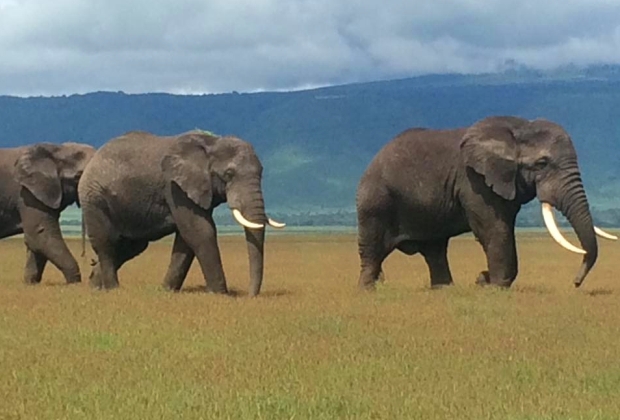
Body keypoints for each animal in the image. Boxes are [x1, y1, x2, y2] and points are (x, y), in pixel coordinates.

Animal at [0, 143, 96, 284]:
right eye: (77, 177)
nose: (91, 261)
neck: (57, 149)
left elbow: (37, 241)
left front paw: (31, 283)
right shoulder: (27, 195)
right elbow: (40, 236)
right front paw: (74, 283)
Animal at [78, 129, 286, 296]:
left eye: (261, 173)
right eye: (229, 174)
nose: (251, 295)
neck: (211, 142)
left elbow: (186, 238)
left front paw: (166, 291)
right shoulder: (174, 186)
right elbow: (200, 230)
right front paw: (220, 294)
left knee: (131, 247)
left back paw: (95, 285)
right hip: (94, 198)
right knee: (107, 244)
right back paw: (113, 289)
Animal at [356, 116, 616, 290]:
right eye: (542, 163)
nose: (575, 283)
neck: (519, 128)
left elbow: (505, 228)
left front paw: (484, 280)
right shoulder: (473, 181)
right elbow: (494, 229)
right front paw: (493, 285)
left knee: (435, 249)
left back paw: (444, 289)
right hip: (375, 200)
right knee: (373, 248)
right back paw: (368, 290)